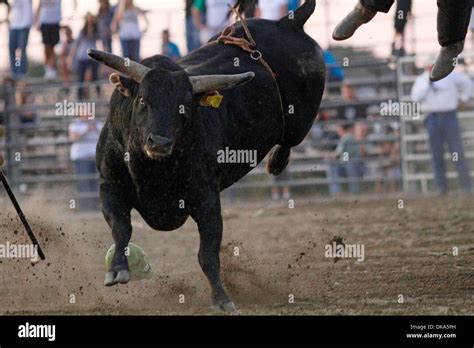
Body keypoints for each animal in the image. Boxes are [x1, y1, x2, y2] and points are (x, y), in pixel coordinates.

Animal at [88, 0, 326, 310]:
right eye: (142, 101)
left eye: (185, 107)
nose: (159, 142)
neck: (153, 169)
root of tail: (288, 22)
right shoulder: (110, 184)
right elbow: (121, 229)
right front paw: (117, 269)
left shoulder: (207, 200)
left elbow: (208, 254)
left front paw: (222, 297)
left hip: (301, 121)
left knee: (289, 140)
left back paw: (276, 163)